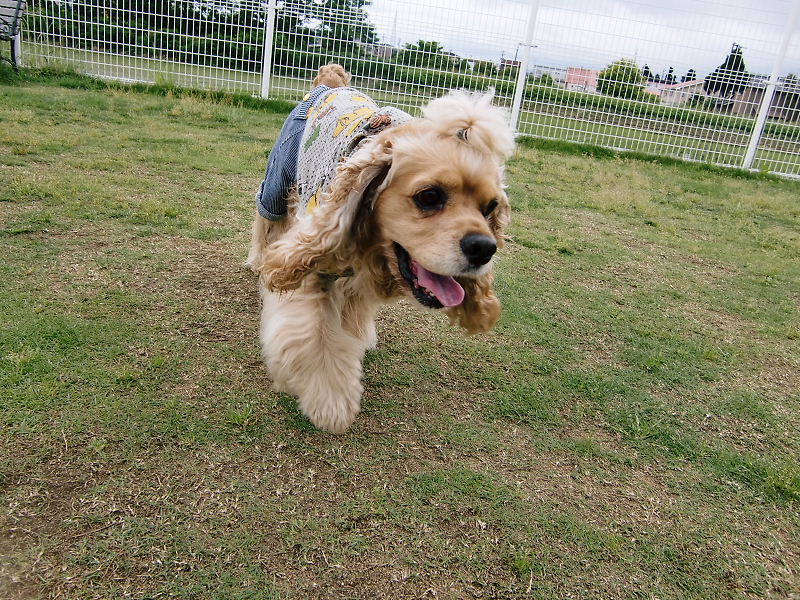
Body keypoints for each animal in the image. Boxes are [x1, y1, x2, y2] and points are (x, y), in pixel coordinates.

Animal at [246, 64, 515, 433]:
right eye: (429, 196)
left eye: (490, 208)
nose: (485, 249)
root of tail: (330, 83)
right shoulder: (315, 261)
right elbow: (313, 337)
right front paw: (331, 403)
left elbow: (350, 315)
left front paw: (357, 342)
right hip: (278, 177)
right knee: (267, 220)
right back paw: (259, 262)